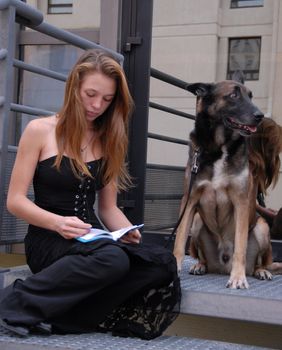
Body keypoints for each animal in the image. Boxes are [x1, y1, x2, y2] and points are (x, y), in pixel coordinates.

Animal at [173, 72, 282, 288]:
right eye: (233, 95)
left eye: (251, 96)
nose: (260, 116)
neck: (218, 149)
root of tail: (222, 265)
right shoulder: (189, 200)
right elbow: (179, 239)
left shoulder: (241, 201)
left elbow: (240, 245)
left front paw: (238, 277)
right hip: (197, 222)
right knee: (201, 256)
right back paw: (200, 265)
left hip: (262, 227)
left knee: (260, 261)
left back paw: (260, 271)